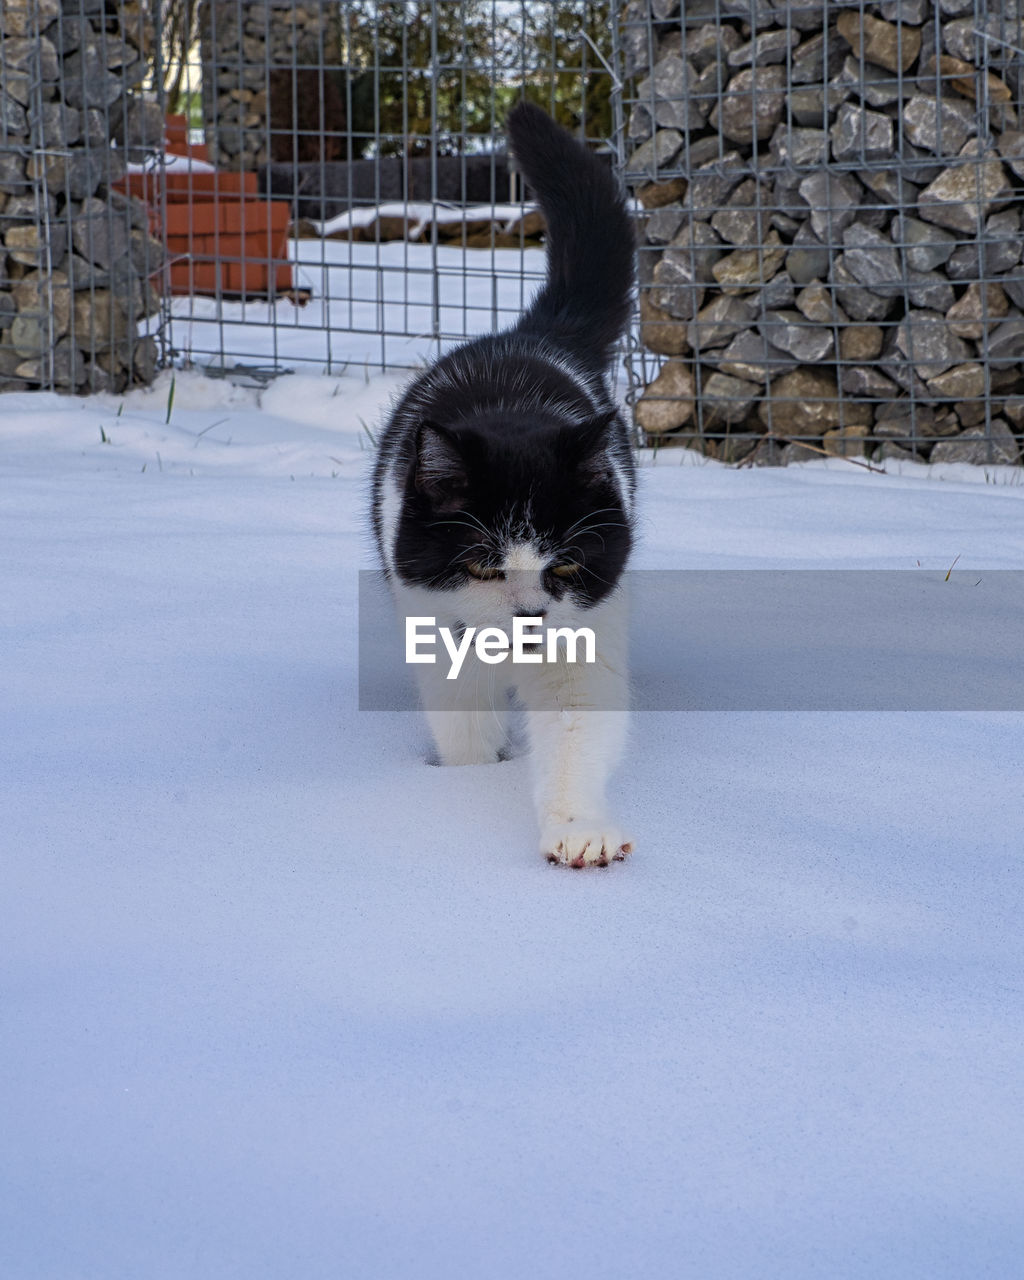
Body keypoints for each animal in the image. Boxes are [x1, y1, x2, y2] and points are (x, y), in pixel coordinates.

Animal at [371, 102, 634, 870]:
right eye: (484, 564)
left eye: (565, 565)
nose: (530, 618)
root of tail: (537, 332)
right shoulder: (433, 623)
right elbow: (461, 725)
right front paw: (466, 784)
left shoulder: (588, 627)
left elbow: (579, 725)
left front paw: (579, 829)